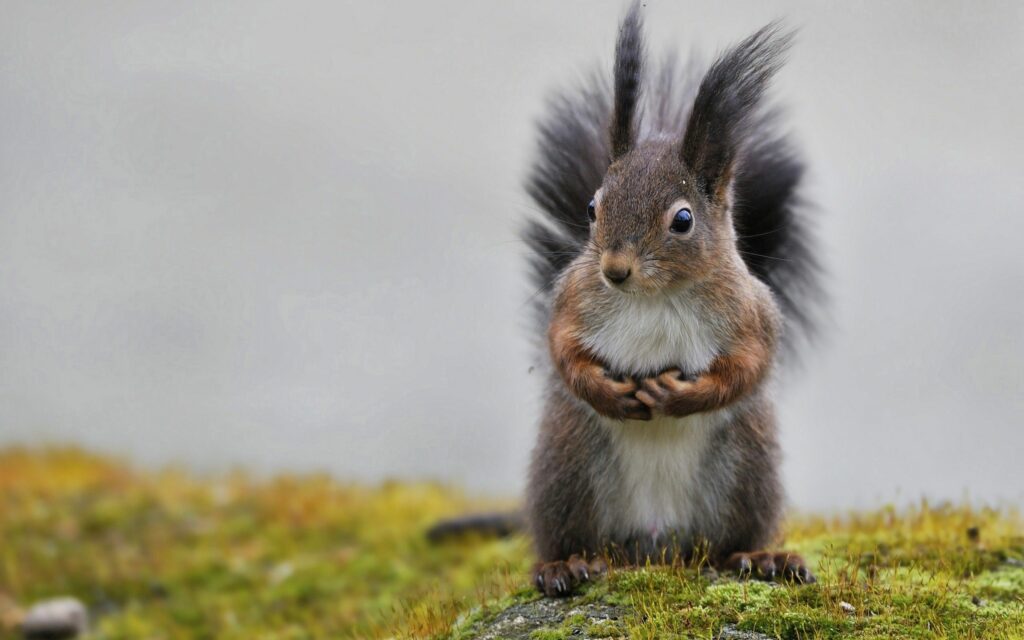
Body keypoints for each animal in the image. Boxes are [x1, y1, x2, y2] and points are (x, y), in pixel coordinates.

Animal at [521, 4, 823, 596]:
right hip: (568, 467)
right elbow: (562, 349)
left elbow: (749, 367)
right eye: (592, 207)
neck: (654, 296)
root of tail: (657, 545)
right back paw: (565, 565)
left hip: (745, 469)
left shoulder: (749, 314)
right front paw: (606, 391)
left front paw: (681, 396)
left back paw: (760, 557)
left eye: (682, 220)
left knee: (729, 543)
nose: (614, 270)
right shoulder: (573, 299)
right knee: (572, 535)